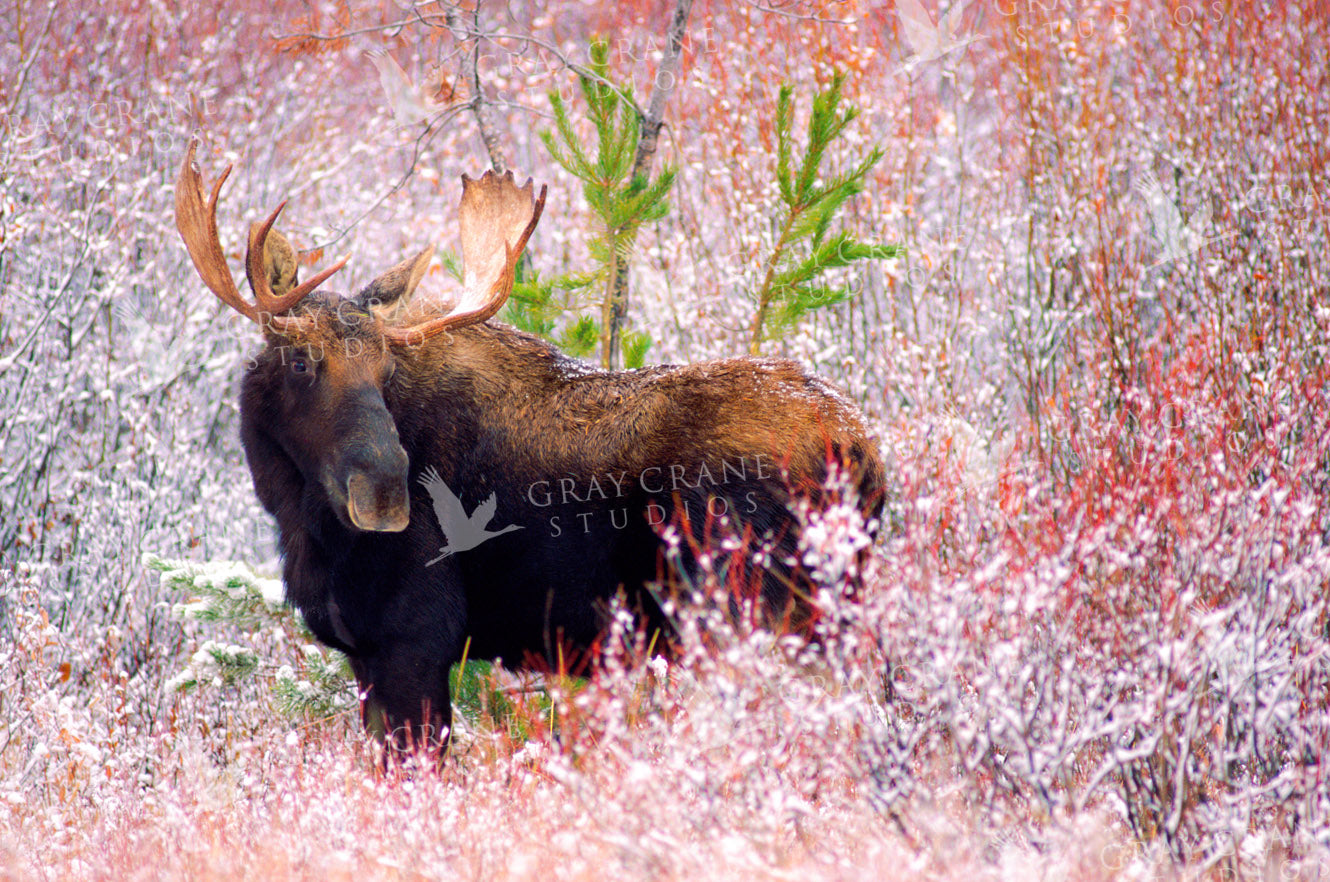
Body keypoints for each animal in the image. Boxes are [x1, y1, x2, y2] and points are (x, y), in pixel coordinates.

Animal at [173, 139, 885, 753]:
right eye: (300, 361)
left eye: (385, 371)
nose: (384, 494)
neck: (300, 519)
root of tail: (860, 450)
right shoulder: (368, 656)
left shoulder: (414, 640)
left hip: (764, 613)